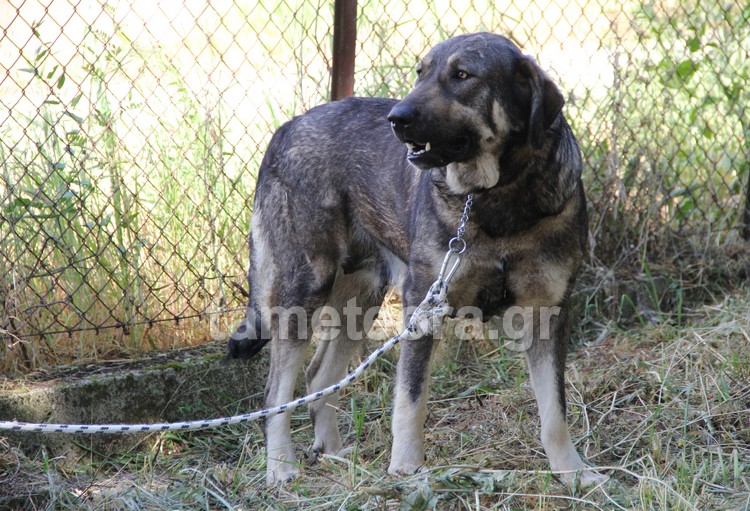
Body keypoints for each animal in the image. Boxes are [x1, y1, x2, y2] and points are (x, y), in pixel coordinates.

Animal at [226, 32, 608, 488]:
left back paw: (334, 454)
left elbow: (555, 412)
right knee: (275, 394)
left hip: (361, 300)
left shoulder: (547, 314)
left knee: (319, 376)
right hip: (304, 291)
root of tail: (287, 127)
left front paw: (572, 473)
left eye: (462, 75)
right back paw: (281, 467)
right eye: (420, 73)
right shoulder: (422, 307)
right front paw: (406, 468)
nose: (396, 118)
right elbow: (411, 400)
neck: (496, 199)